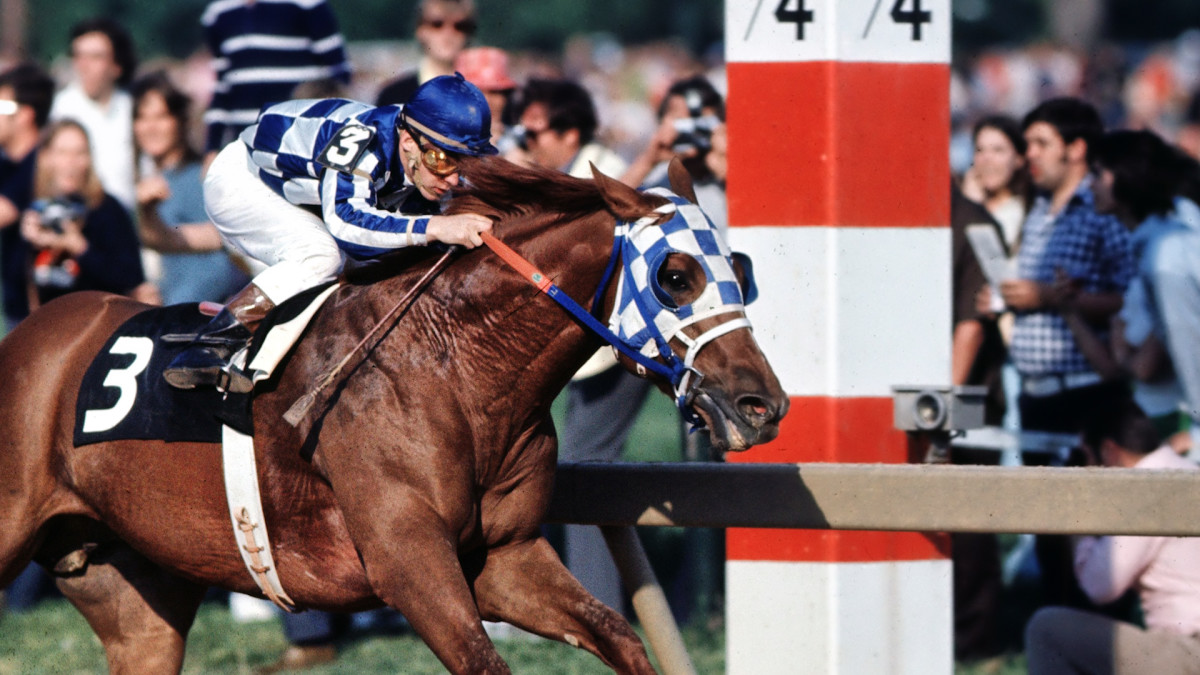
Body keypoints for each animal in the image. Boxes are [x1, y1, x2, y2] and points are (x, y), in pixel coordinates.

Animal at [0, 159, 787, 667]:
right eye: (675, 275)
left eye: (738, 269)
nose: (762, 403)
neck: (453, 365)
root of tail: (32, 330)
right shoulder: (406, 559)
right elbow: (483, 658)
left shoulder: (502, 556)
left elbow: (617, 633)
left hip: (136, 589)